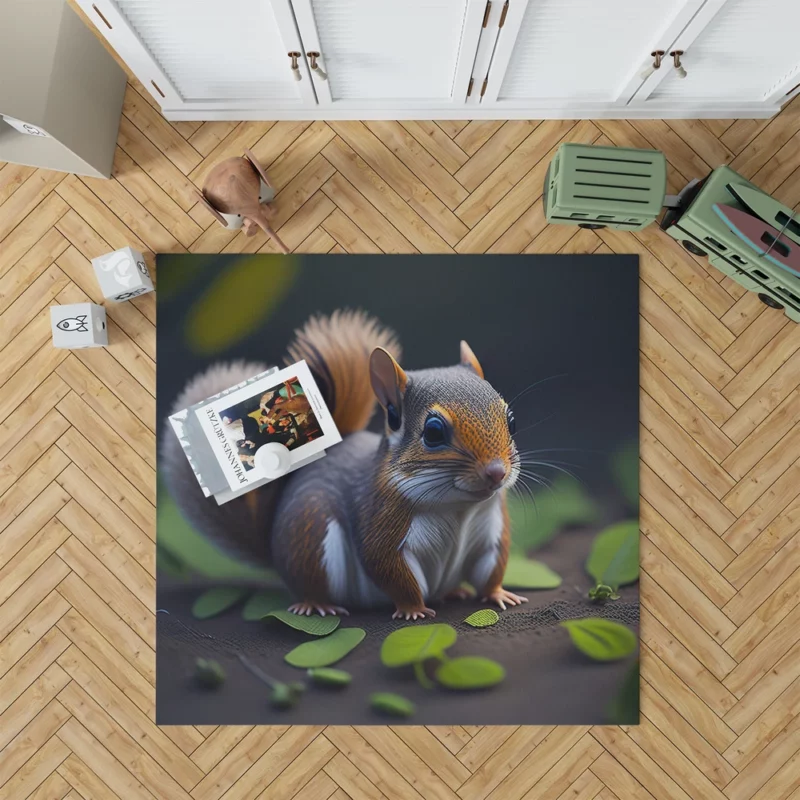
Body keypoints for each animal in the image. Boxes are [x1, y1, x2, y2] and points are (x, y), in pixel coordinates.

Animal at [161, 310, 524, 620]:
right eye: (433, 432)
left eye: (511, 420)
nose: (496, 472)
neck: (458, 508)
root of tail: (274, 550)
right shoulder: (380, 523)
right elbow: (390, 571)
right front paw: (413, 609)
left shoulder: (491, 530)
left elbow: (491, 569)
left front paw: (499, 593)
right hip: (310, 533)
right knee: (310, 582)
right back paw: (316, 604)